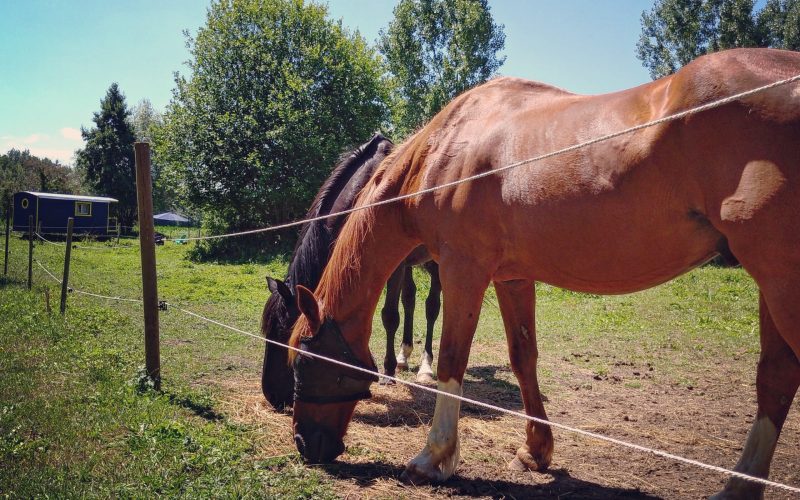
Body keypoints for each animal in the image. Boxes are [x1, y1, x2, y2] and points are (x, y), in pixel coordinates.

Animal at [260, 133, 441, 410]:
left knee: (432, 306)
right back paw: (403, 356)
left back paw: (426, 367)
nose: (272, 396)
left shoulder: (394, 266)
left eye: (284, 332)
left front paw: (387, 372)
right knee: (410, 298)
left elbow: (389, 316)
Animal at [286, 48, 800, 499]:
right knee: (775, 379)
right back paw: (739, 486)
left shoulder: (462, 269)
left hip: (781, 283)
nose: (305, 445)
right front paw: (536, 450)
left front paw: (434, 458)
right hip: (773, 283)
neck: (449, 147)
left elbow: (453, 359)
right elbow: (523, 358)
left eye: (302, 362)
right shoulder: (511, 278)